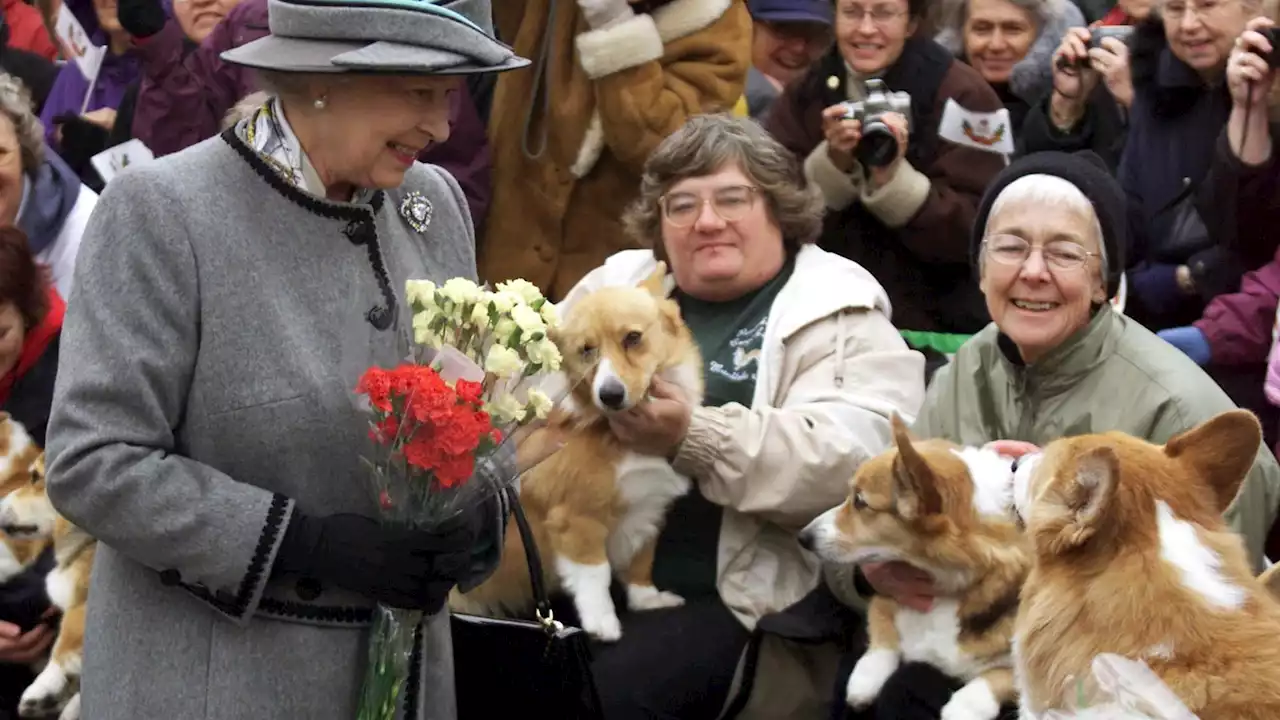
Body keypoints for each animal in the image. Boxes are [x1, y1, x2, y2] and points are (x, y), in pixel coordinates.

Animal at [455, 263, 706, 638]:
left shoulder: (647, 511)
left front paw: (648, 600)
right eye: (587, 350)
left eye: (633, 338)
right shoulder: (577, 520)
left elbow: (640, 562)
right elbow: (595, 576)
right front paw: (603, 624)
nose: (610, 395)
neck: (614, 431)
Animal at [798, 415, 1029, 717]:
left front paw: (964, 707)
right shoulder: (887, 591)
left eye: (860, 501)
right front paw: (865, 679)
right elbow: (882, 632)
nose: (803, 537)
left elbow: (1001, 677)